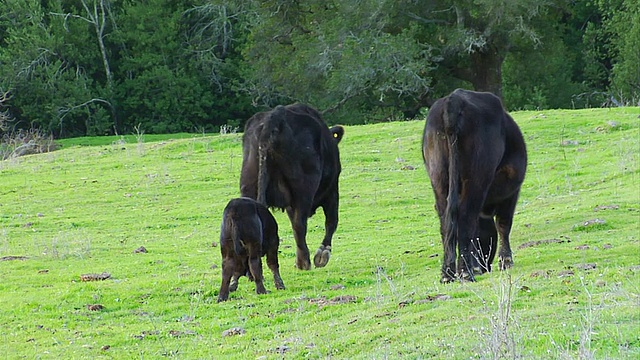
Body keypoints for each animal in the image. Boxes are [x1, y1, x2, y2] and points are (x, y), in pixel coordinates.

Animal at [240, 104, 344, 270]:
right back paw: (304, 262)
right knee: (299, 225)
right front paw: (322, 254)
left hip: (248, 187)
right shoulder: (332, 189)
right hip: (303, 190)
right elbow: (332, 221)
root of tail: (274, 117)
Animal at [422, 88, 528, 282]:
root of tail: (454, 99)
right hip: (476, 179)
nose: (485, 267)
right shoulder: (512, 193)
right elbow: (504, 224)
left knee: (446, 221)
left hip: (439, 178)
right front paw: (506, 261)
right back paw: (466, 272)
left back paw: (448, 274)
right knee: (466, 217)